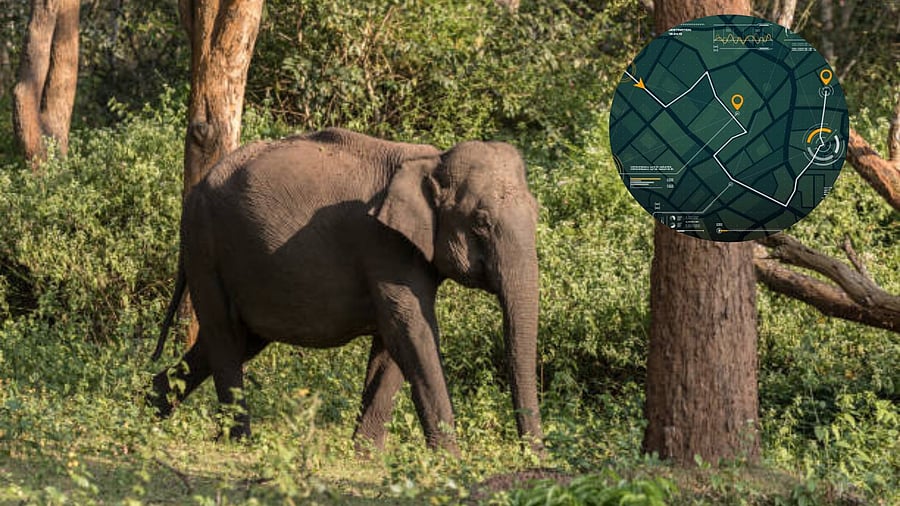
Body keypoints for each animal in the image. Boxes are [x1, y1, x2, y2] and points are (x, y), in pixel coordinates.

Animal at [148, 128, 543, 454]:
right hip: (206, 247)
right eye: (481, 222)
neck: (432, 160)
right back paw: (239, 442)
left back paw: (146, 409)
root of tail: (195, 191)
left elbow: (393, 343)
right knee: (225, 336)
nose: (534, 459)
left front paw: (367, 455)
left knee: (235, 341)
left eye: (537, 212)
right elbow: (412, 331)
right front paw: (449, 460)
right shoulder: (384, 245)